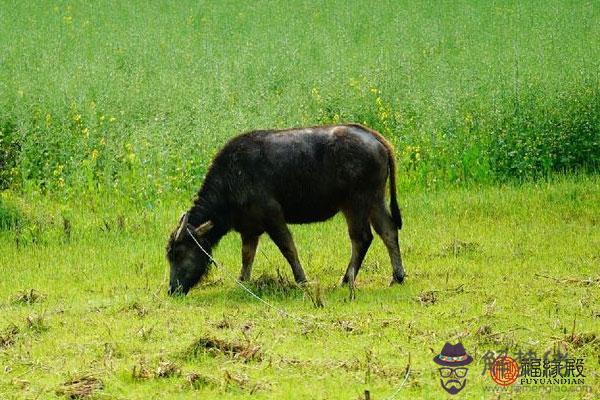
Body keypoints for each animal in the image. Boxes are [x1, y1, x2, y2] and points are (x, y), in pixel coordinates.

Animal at [166, 123, 406, 296]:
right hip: (375, 200)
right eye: (169, 255)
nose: (173, 289)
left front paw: (302, 279)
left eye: (180, 253)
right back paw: (397, 276)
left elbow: (288, 247)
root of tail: (376, 139)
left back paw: (347, 279)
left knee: (362, 238)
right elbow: (247, 255)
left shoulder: (273, 216)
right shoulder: (249, 228)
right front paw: (243, 281)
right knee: (388, 231)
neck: (232, 178)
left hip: (356, 203)